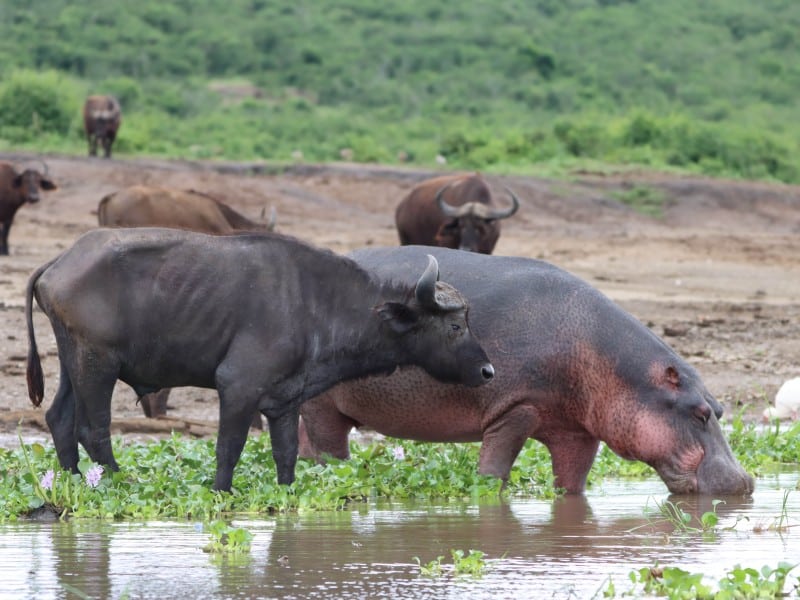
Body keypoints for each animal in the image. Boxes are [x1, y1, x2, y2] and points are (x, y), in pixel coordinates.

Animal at [298, 246, 754, 496]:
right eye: (700, 413)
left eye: (720, 409)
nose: (746, 482)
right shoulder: (516, 409)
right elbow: (493, 474)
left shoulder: (577, 431)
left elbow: (572, 484)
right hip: (324, 406)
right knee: (329, 456)